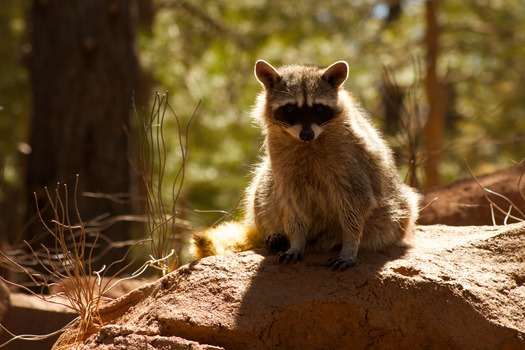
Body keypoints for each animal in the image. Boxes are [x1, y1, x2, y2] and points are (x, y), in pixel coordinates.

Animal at [190, 60, 420, 270]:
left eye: (318, 109)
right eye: (290, 109)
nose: (307, 134)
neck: (308, 143)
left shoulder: (352, 158)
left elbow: (356, 201)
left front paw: (350, 244)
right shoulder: (282, 159)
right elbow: (291, 203)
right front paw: (296, 241)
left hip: (393, 215)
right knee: (263, 185)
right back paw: (276, 234)